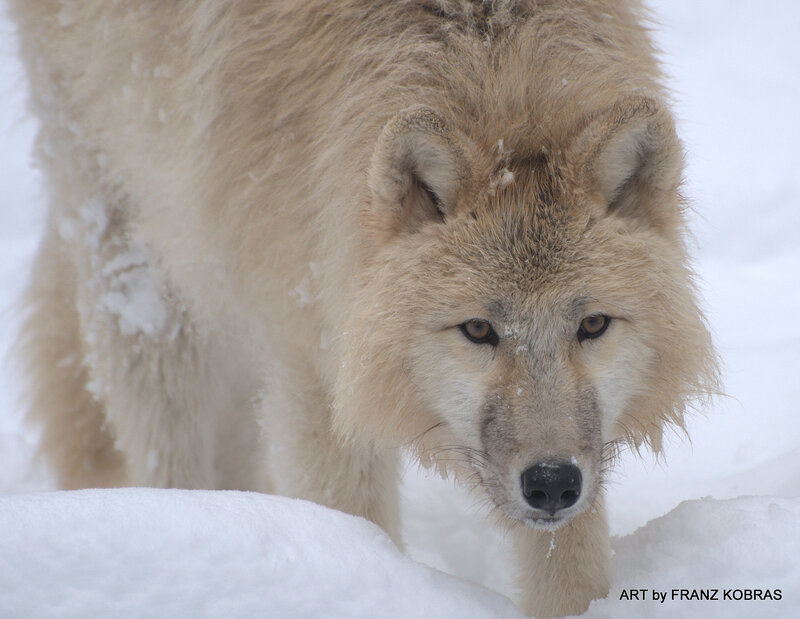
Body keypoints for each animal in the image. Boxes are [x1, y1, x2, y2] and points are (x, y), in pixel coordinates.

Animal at [11, 1, 718, 616]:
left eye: (592, 325)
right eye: (478, 330)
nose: (549, 483)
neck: (498, 74)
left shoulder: (582, 455)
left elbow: (571, 570)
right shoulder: (317, 366)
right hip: (146, 269)